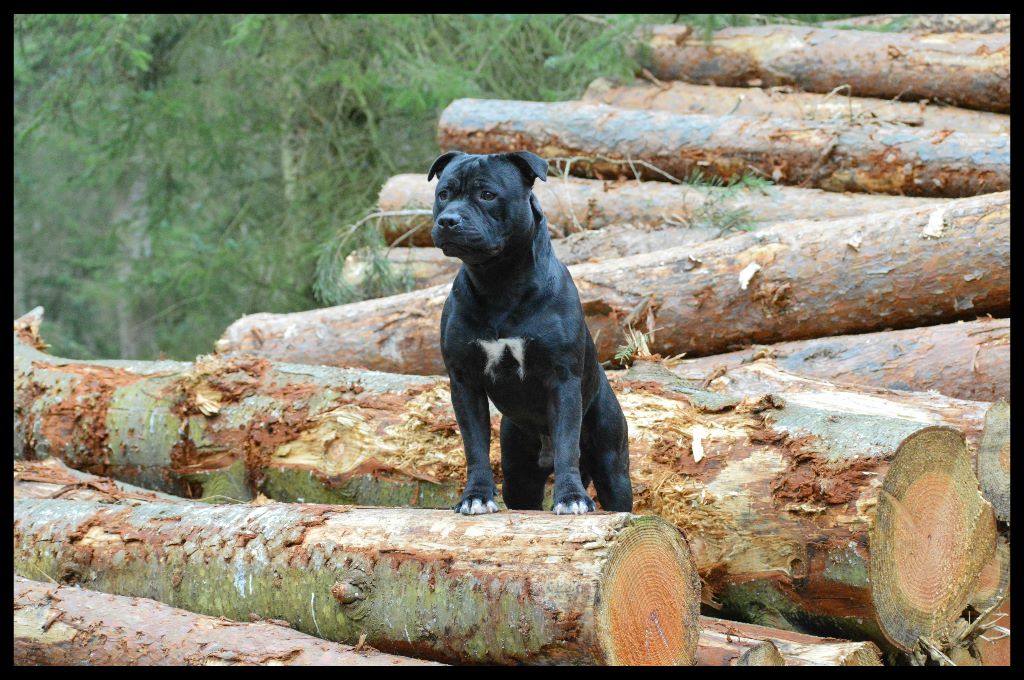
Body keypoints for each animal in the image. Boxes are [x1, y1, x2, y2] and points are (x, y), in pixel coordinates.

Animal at [425, 151, 630, 516]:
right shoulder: (465, 382)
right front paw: (476, 495)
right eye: (443, 194)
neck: (499, 281)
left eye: (487, 195)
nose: (448, 220)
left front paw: (571, 498)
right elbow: (475, 445)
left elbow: (567, 445)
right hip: (519, 474)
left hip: (613, 467)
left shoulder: (562, 379)